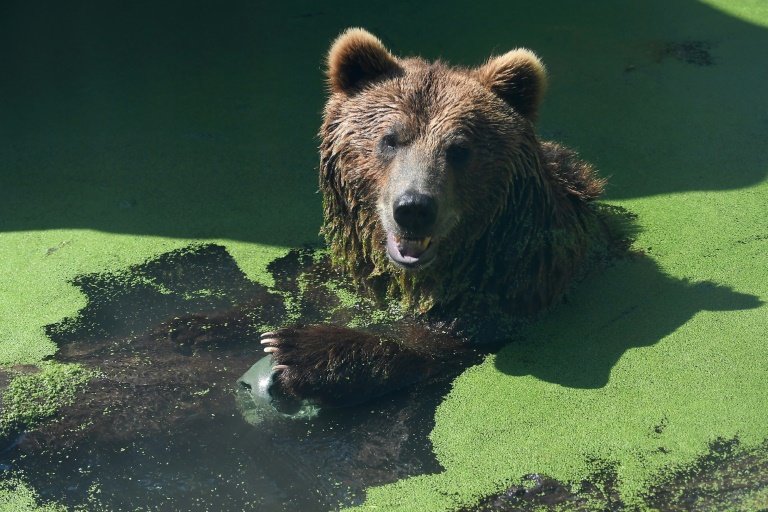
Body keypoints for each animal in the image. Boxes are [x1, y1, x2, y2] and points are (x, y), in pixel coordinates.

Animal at [259, 28, 616, 410]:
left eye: (459, 149)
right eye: (390, 139)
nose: (414, 208)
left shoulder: (515, 289)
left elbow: (436, 347)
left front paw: (299, 349)